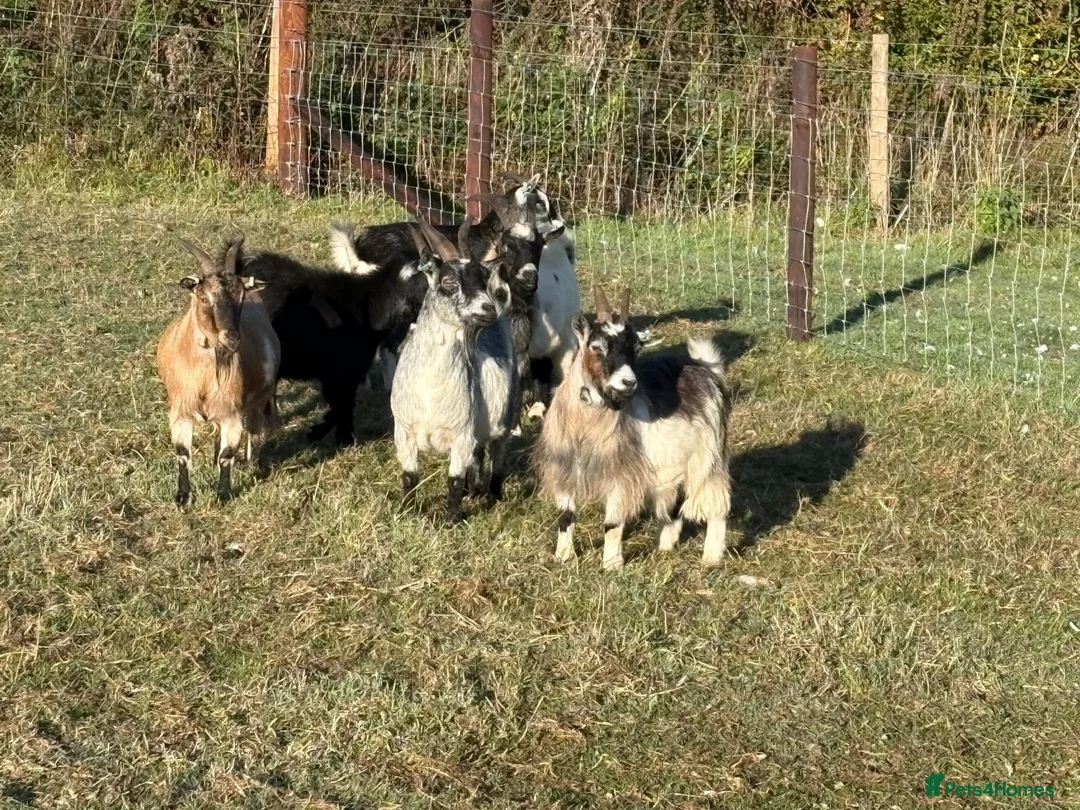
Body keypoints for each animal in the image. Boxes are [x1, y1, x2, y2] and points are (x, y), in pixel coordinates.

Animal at [156, 238, 280, 505]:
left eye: (240, 297)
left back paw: (252, 463)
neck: (203, 378)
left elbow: (228, 454)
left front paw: (223, 495)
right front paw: (182, 497)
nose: (231, 338)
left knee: (254, 429)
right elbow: (183, 453)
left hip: (259, 398)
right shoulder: (180, 411)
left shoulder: (231, 412)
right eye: (203, 298)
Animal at [390, 217, 517, 523]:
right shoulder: (404, 430)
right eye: (448, 282)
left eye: (483, 279)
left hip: (505, 416)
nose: (487, 309)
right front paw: (406, 511)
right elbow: (409, 476)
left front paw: (453, 519)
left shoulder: (461, 435)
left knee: (496, 454)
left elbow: (454, 480)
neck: (430, 392)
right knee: (478, 454)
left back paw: (492, 494)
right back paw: (476, 490)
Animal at [532, 285, 732, 570]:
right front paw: (563, 558)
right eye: (596, 346)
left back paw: (711, 557)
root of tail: (707, 368)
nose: (629, 382)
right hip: (670, 464)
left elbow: (612, 524)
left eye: (636, 346)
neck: (586, 427)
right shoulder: (564, 469)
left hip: (707, 456)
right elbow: (566, 517)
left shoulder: (621, 475)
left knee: (716, 502)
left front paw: (611, 565)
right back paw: (664, 546)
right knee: (672, 503)